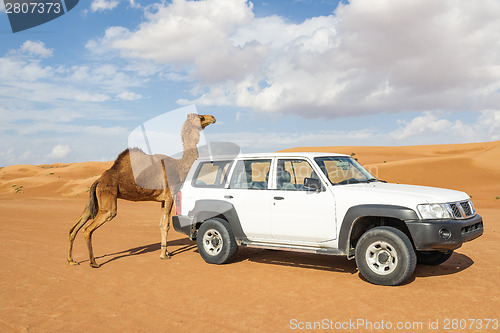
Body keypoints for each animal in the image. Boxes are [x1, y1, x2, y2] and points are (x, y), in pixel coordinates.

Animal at [67, 113, 216, 266]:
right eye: (201, 118)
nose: (212, 117)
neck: (180, 167)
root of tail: (98, 181)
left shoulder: (163, 200)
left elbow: (161, 223)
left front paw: (166, 252)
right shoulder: (170, 196)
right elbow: (166, 225)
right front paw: (164, 255)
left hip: (94, 201)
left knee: (76, 226)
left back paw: (71, 260)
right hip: (108, 198)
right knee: (88, 229)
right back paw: (93, 262)